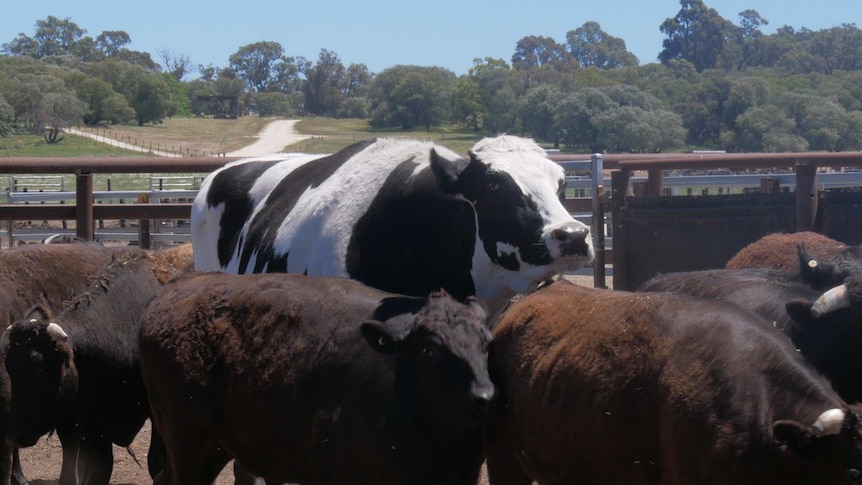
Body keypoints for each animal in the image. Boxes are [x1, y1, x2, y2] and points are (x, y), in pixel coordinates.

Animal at [139, 272, 496, 484]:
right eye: (430, 350)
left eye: (486, 342)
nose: (483, 397)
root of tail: (169, 295)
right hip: (186, 438)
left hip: (213, 446)